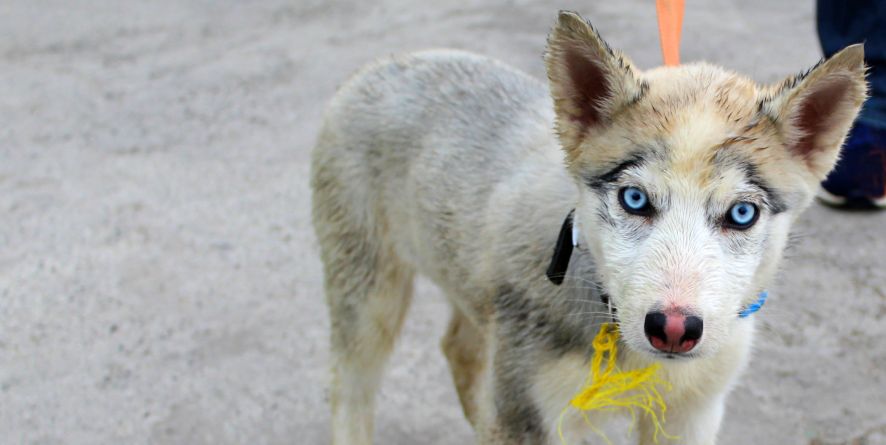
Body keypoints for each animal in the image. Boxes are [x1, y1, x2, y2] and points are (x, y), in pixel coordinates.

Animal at [310, 10, 868, 444]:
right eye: (634, 199)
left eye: (742, 214)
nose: (673, 329)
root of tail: (388, 63)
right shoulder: (532, 414)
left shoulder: (693, 414)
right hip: (369, 290)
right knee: (350, 385)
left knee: (458, 347)